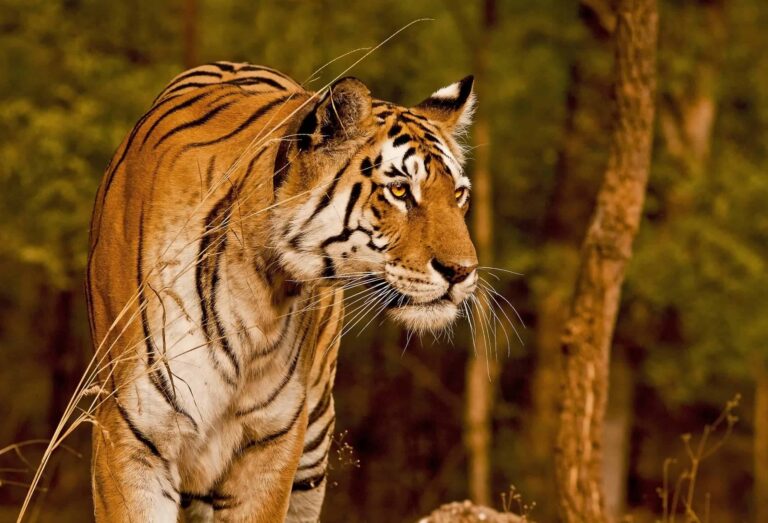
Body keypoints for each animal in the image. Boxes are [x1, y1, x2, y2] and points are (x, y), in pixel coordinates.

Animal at [86, 60, 478, 522]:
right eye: (399, 190)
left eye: (459, 194)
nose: (463, 271)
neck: (259, 283)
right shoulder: (131, 437)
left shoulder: (272, 441)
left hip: (312, 443)